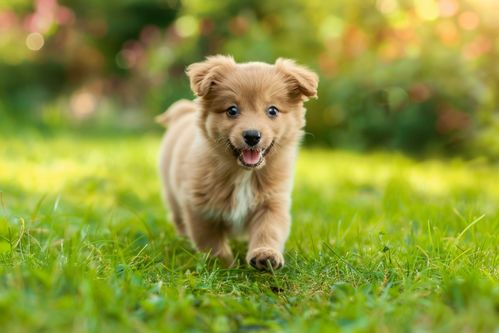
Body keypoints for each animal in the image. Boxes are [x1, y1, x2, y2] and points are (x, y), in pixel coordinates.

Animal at [158, 55, 318, 270]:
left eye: (272, 111)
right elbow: (210, 242)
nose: (252, 136)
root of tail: (182, 113)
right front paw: (224, 266)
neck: (244, 174)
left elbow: (269, 230)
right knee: (178, 219)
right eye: (232, 110)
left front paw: (265, 255)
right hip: (172, 195)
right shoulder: (199, 208)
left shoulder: (273, 202)